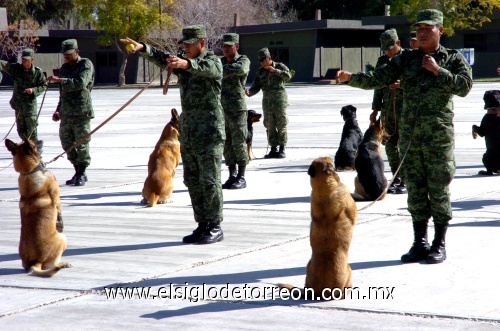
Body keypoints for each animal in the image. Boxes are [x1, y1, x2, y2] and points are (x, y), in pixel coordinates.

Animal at [4, 139, 71, 276]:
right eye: (34, 142)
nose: (40, 139)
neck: (28, 172)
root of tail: (35, 262)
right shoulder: (57, 200)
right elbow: (59, 214)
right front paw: (60, 223)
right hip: (62, 238)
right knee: (52, 265)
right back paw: (64, 264)